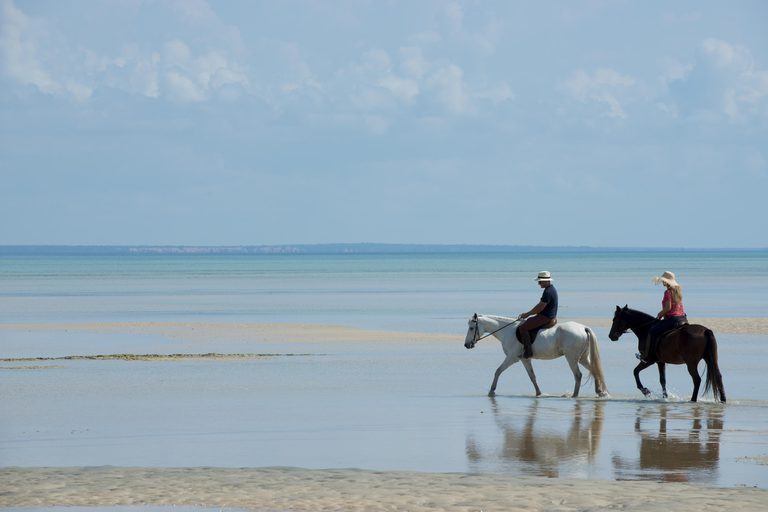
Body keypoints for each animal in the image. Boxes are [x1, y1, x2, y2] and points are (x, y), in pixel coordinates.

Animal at [464, 313, 609, 398]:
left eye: (471, 328)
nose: (466, 345)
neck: (508, 331)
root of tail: (583, 328)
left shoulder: (511, 358)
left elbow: (498, 371)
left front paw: (492, 391)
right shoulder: (525, 359)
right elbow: (532, 376)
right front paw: (539, 393)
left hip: (571, 358)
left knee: (578, 375)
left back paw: (574, 395)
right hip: (582, 358)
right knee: (594, 369)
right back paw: (599, 392)